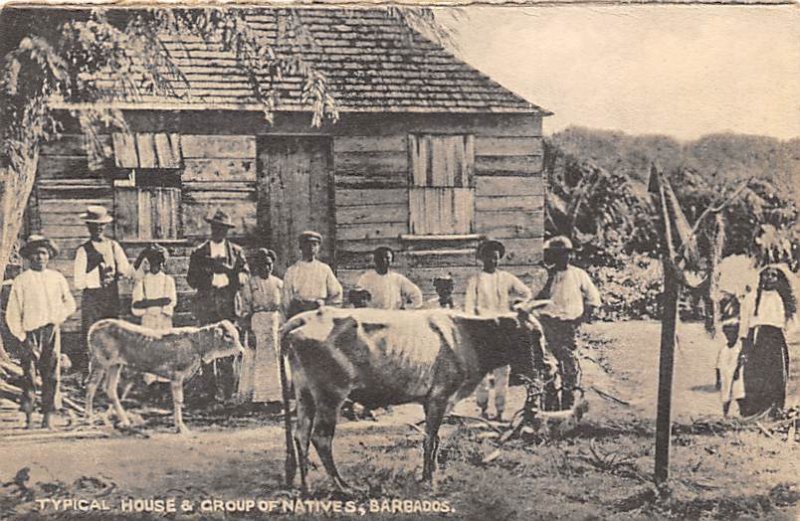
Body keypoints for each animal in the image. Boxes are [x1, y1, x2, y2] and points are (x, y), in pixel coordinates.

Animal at [85, 318, 244, 432]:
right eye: (228, 336)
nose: (242, 351)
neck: (197, 345)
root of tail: (94, 327)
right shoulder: (177, 375)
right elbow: (178, 400)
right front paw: (181, 427)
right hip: (99, 362)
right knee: (91, 386)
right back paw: (89, 420)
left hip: (115, 365)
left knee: (110, 389)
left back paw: (125, 422)